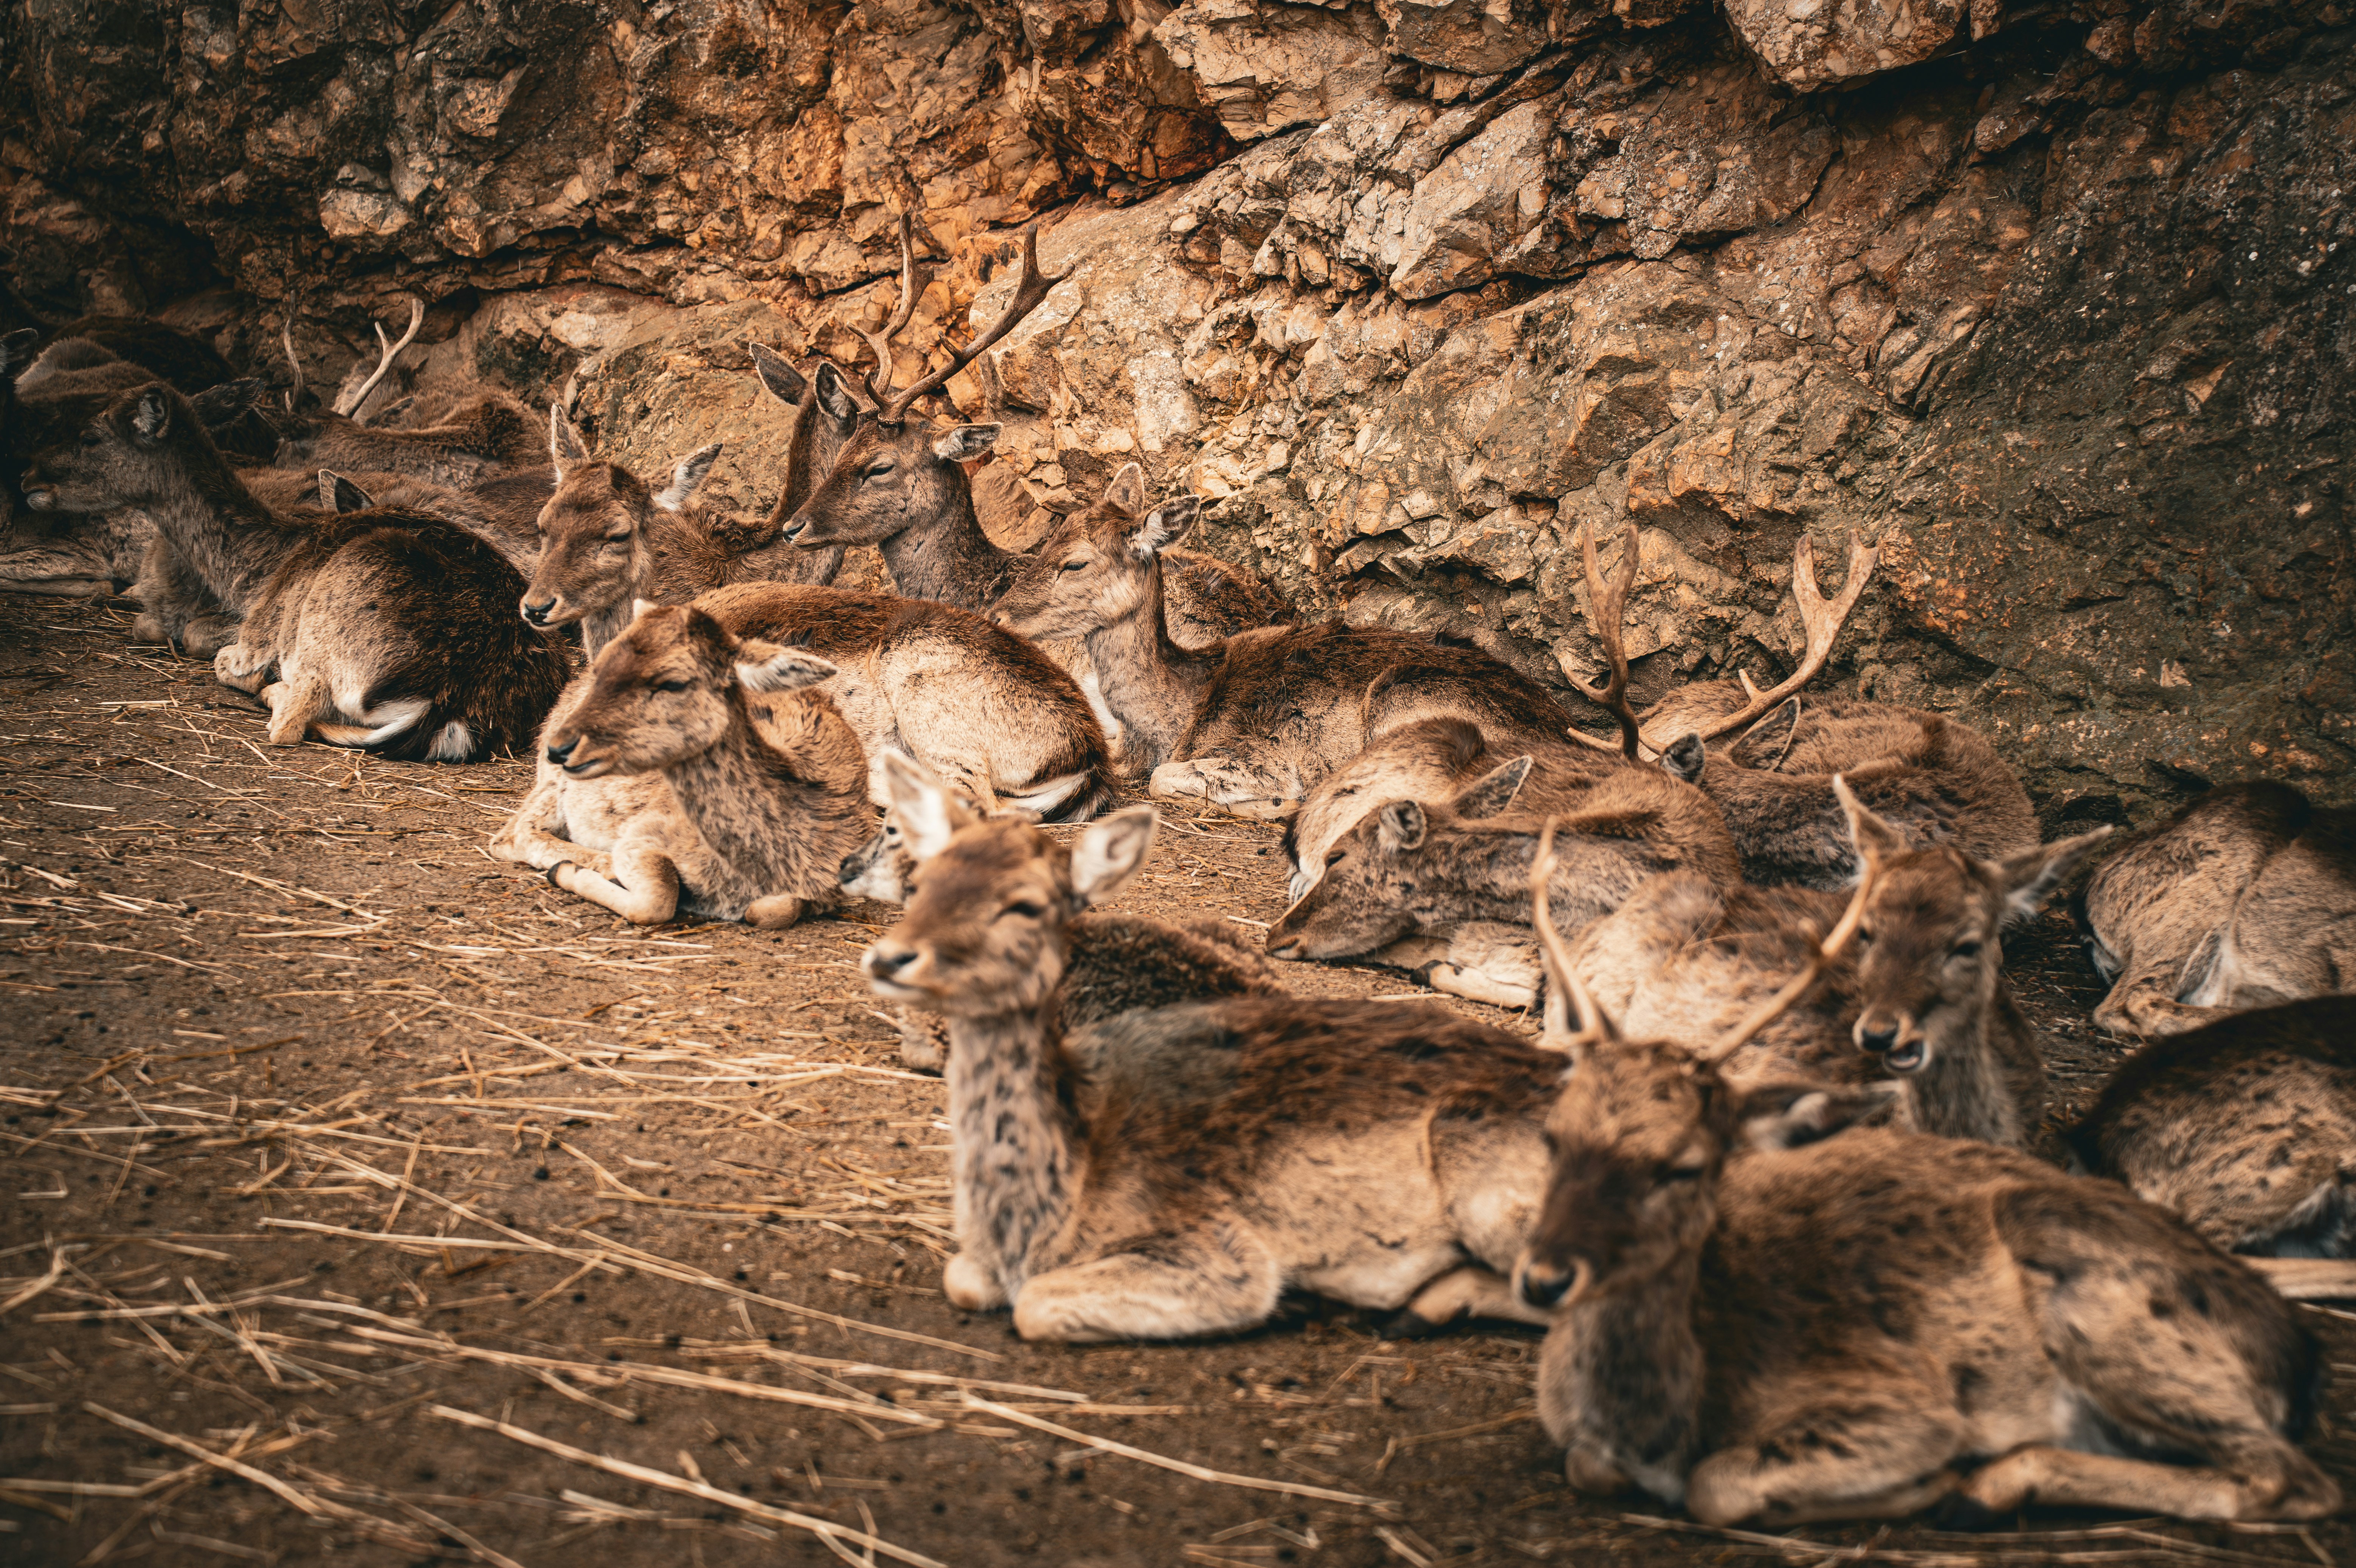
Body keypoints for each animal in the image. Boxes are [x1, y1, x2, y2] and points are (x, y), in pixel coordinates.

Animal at [21, 381, 572, 759]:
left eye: (92, 435)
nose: (28, 479)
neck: (259, 565)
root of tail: (451, 705)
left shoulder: (257, 634)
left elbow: (222, 658)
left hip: (323, 642)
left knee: (290, 719)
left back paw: (273, 690)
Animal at [489, 602, 870, 928]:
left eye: (672, 682)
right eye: (603, 667)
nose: (561, 746)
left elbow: (776, 909)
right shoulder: (642, 834)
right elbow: (657, 899)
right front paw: (574, 872)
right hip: (552, 783)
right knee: (512, 834)